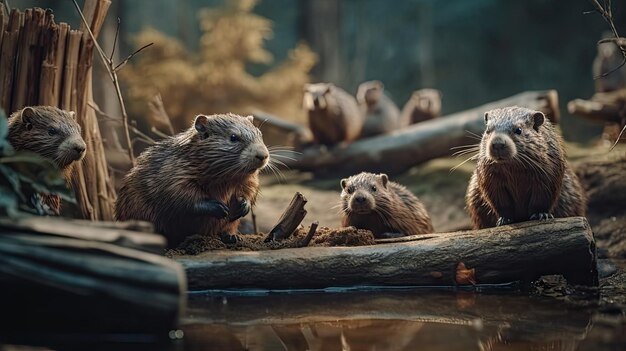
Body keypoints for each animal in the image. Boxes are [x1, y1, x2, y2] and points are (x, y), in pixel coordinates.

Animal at [116, 113, 270, 248]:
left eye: (260, 134)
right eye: (233, 137)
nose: (263, 155)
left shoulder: (248, 180)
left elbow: (250, 189)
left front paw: (243, 206)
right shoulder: (173, 172)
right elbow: (180, 196)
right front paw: (220, 208)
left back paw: (231, 237)